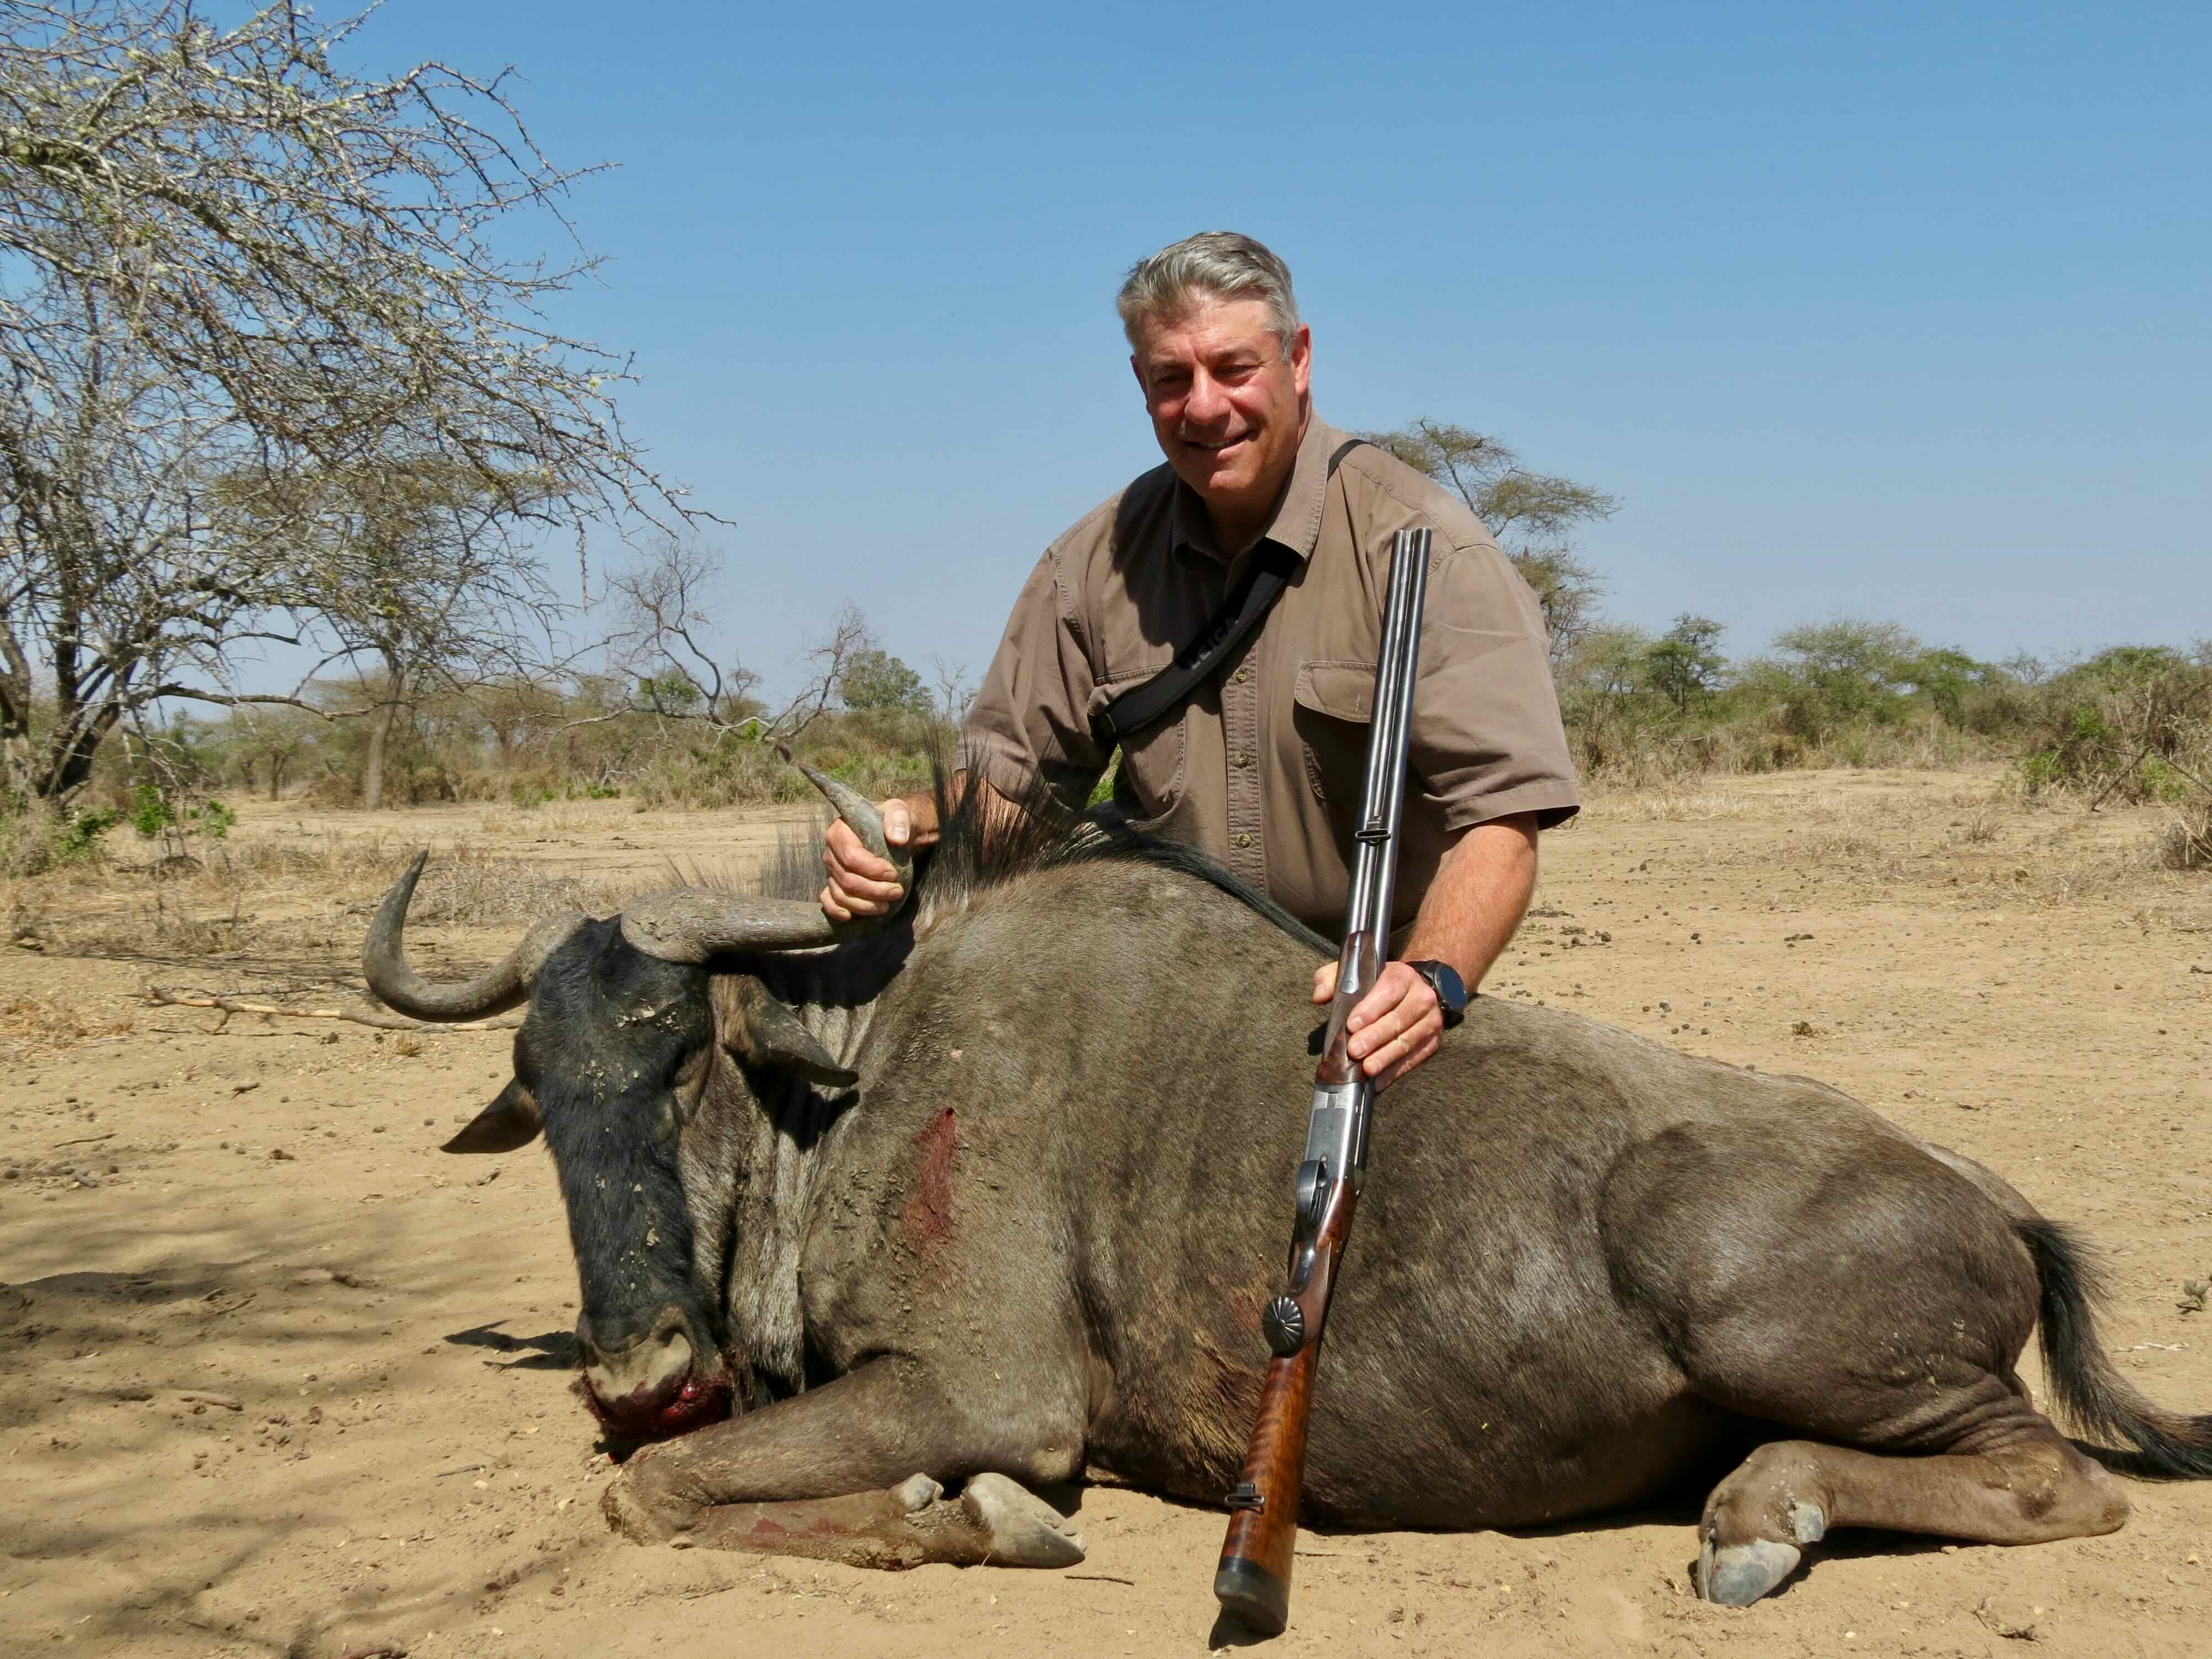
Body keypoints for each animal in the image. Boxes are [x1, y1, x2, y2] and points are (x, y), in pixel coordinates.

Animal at [364, 765, 2211, 1607]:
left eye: (681, 1046)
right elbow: (664, 1482)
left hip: (1758, 1313)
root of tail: (1988, 1203)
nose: (636, 1370)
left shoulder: (988, 1391)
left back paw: (1765, 1519)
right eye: (542, 1092)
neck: (860, 1064)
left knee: (2055, 1478)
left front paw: (977, 1517)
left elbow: (662, 1495)